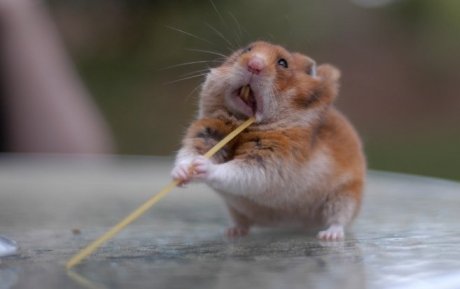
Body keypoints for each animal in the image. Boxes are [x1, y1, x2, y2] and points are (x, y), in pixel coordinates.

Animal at [171, 40, 364, 238]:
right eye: (247, 49)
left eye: (283, 63)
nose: (254, 65)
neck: (242, 124)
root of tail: (298, 224)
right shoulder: (205, 134)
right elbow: (187, 154)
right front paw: (181, 173)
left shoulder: (270, 161)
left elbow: (234, 170)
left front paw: (202, 165)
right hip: (236, 209)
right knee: (243, 222)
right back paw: (233, 232)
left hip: (345, 195)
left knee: (339, 219)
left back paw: (329, 235)